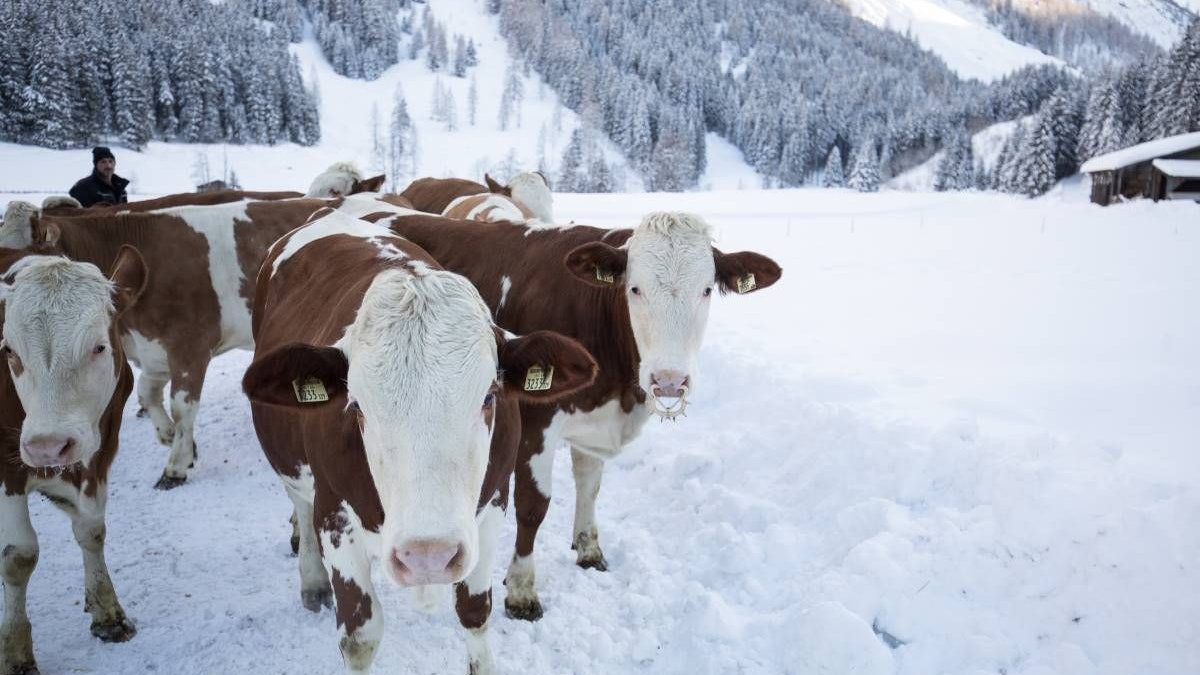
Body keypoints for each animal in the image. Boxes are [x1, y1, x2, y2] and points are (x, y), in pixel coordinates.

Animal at [0, 247, 148, 672]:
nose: (48, 447)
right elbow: (19, 556)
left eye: (98, 346)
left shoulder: (98, 455)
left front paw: (107, 612)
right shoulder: (6, 469)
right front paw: (16, 652)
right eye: (9, 351)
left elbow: (91, 530)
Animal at [1, 196, 338, 485]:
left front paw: (176, 465)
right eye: (10, 350)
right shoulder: (153, 351)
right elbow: (148, 394)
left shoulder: (189, 346)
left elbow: (182, 405)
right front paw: (170, 435)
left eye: (26, 252)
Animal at [243, 207, 595, 667]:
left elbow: (474, 611)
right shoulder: (334, 514)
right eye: (356, 405)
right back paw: (313, 580)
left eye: (489, 396)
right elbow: (359, 637)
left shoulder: (491, 505)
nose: (428, 554)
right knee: (299, 504)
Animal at [376, 210, 787, 619]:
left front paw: (589, 548)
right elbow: (533, 507)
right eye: (634, 289)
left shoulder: (596, 421)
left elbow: (590, 485)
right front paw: (522, 588)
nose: (669, 380)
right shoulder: (536, 424)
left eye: (706, 290)